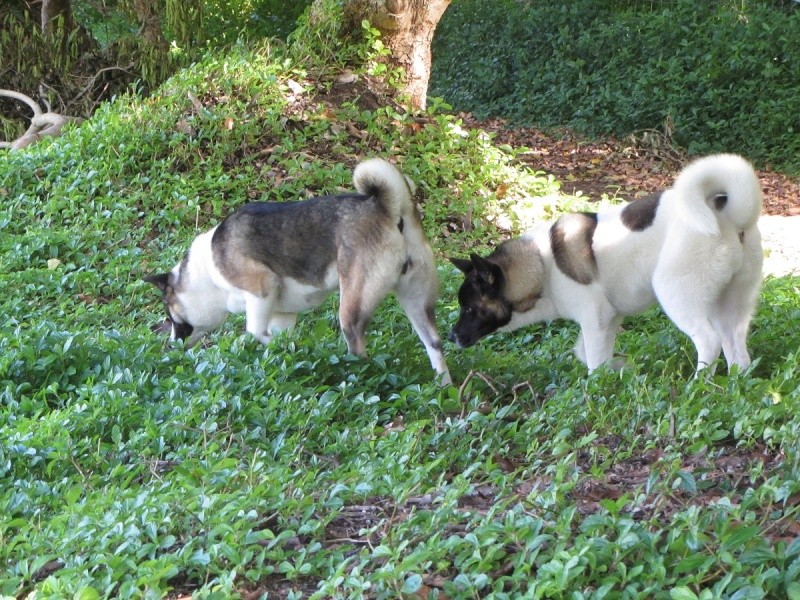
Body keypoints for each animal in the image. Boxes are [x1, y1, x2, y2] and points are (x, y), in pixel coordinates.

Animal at [145, 158, 450, 384]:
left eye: (170, 316)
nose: (171, 344)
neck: (206, 273)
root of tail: (387, 208)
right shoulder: (282, 314)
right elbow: (279, 339)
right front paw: (287, 356)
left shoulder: (261, 288)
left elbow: (255, 331)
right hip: (415, 301)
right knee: (433, 343)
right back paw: (443, 385)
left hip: (352, 307)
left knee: (357, 345)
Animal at [450, 152, 764, 372]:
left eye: (469, 308)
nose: (451, 337)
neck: (542, 265)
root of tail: (728, 215)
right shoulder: (608, 321)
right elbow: (588, 354)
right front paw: (621, 368)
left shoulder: (595, 319)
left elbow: (592, 363)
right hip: (731, 304)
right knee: (735, 343)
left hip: (677, 295)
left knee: (709, 340)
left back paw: (697, 384)